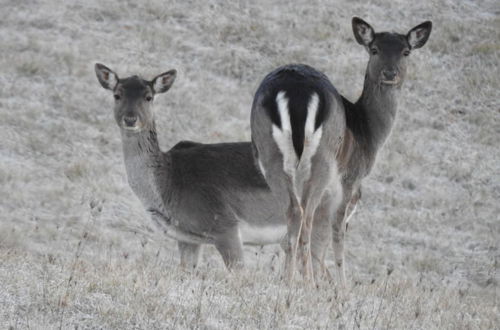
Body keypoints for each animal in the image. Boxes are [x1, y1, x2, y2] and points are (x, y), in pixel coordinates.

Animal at [94, 63, 292, 270]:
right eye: (117, 95)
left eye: (148, 97)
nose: (130, 119)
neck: (167, 187)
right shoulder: (187, 238)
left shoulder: (225, 225)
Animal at [252, 17, 432, 286]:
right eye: (374, 49)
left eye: (405, 51)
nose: (390, 74)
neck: (368, 133)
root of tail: (296, 92)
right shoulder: (350, 181)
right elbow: (335, 233)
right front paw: (341, 285)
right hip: (323, 161)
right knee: (305, 218)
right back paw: (307, 281)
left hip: (268, 154)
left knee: (293, 214)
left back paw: (289, 279)